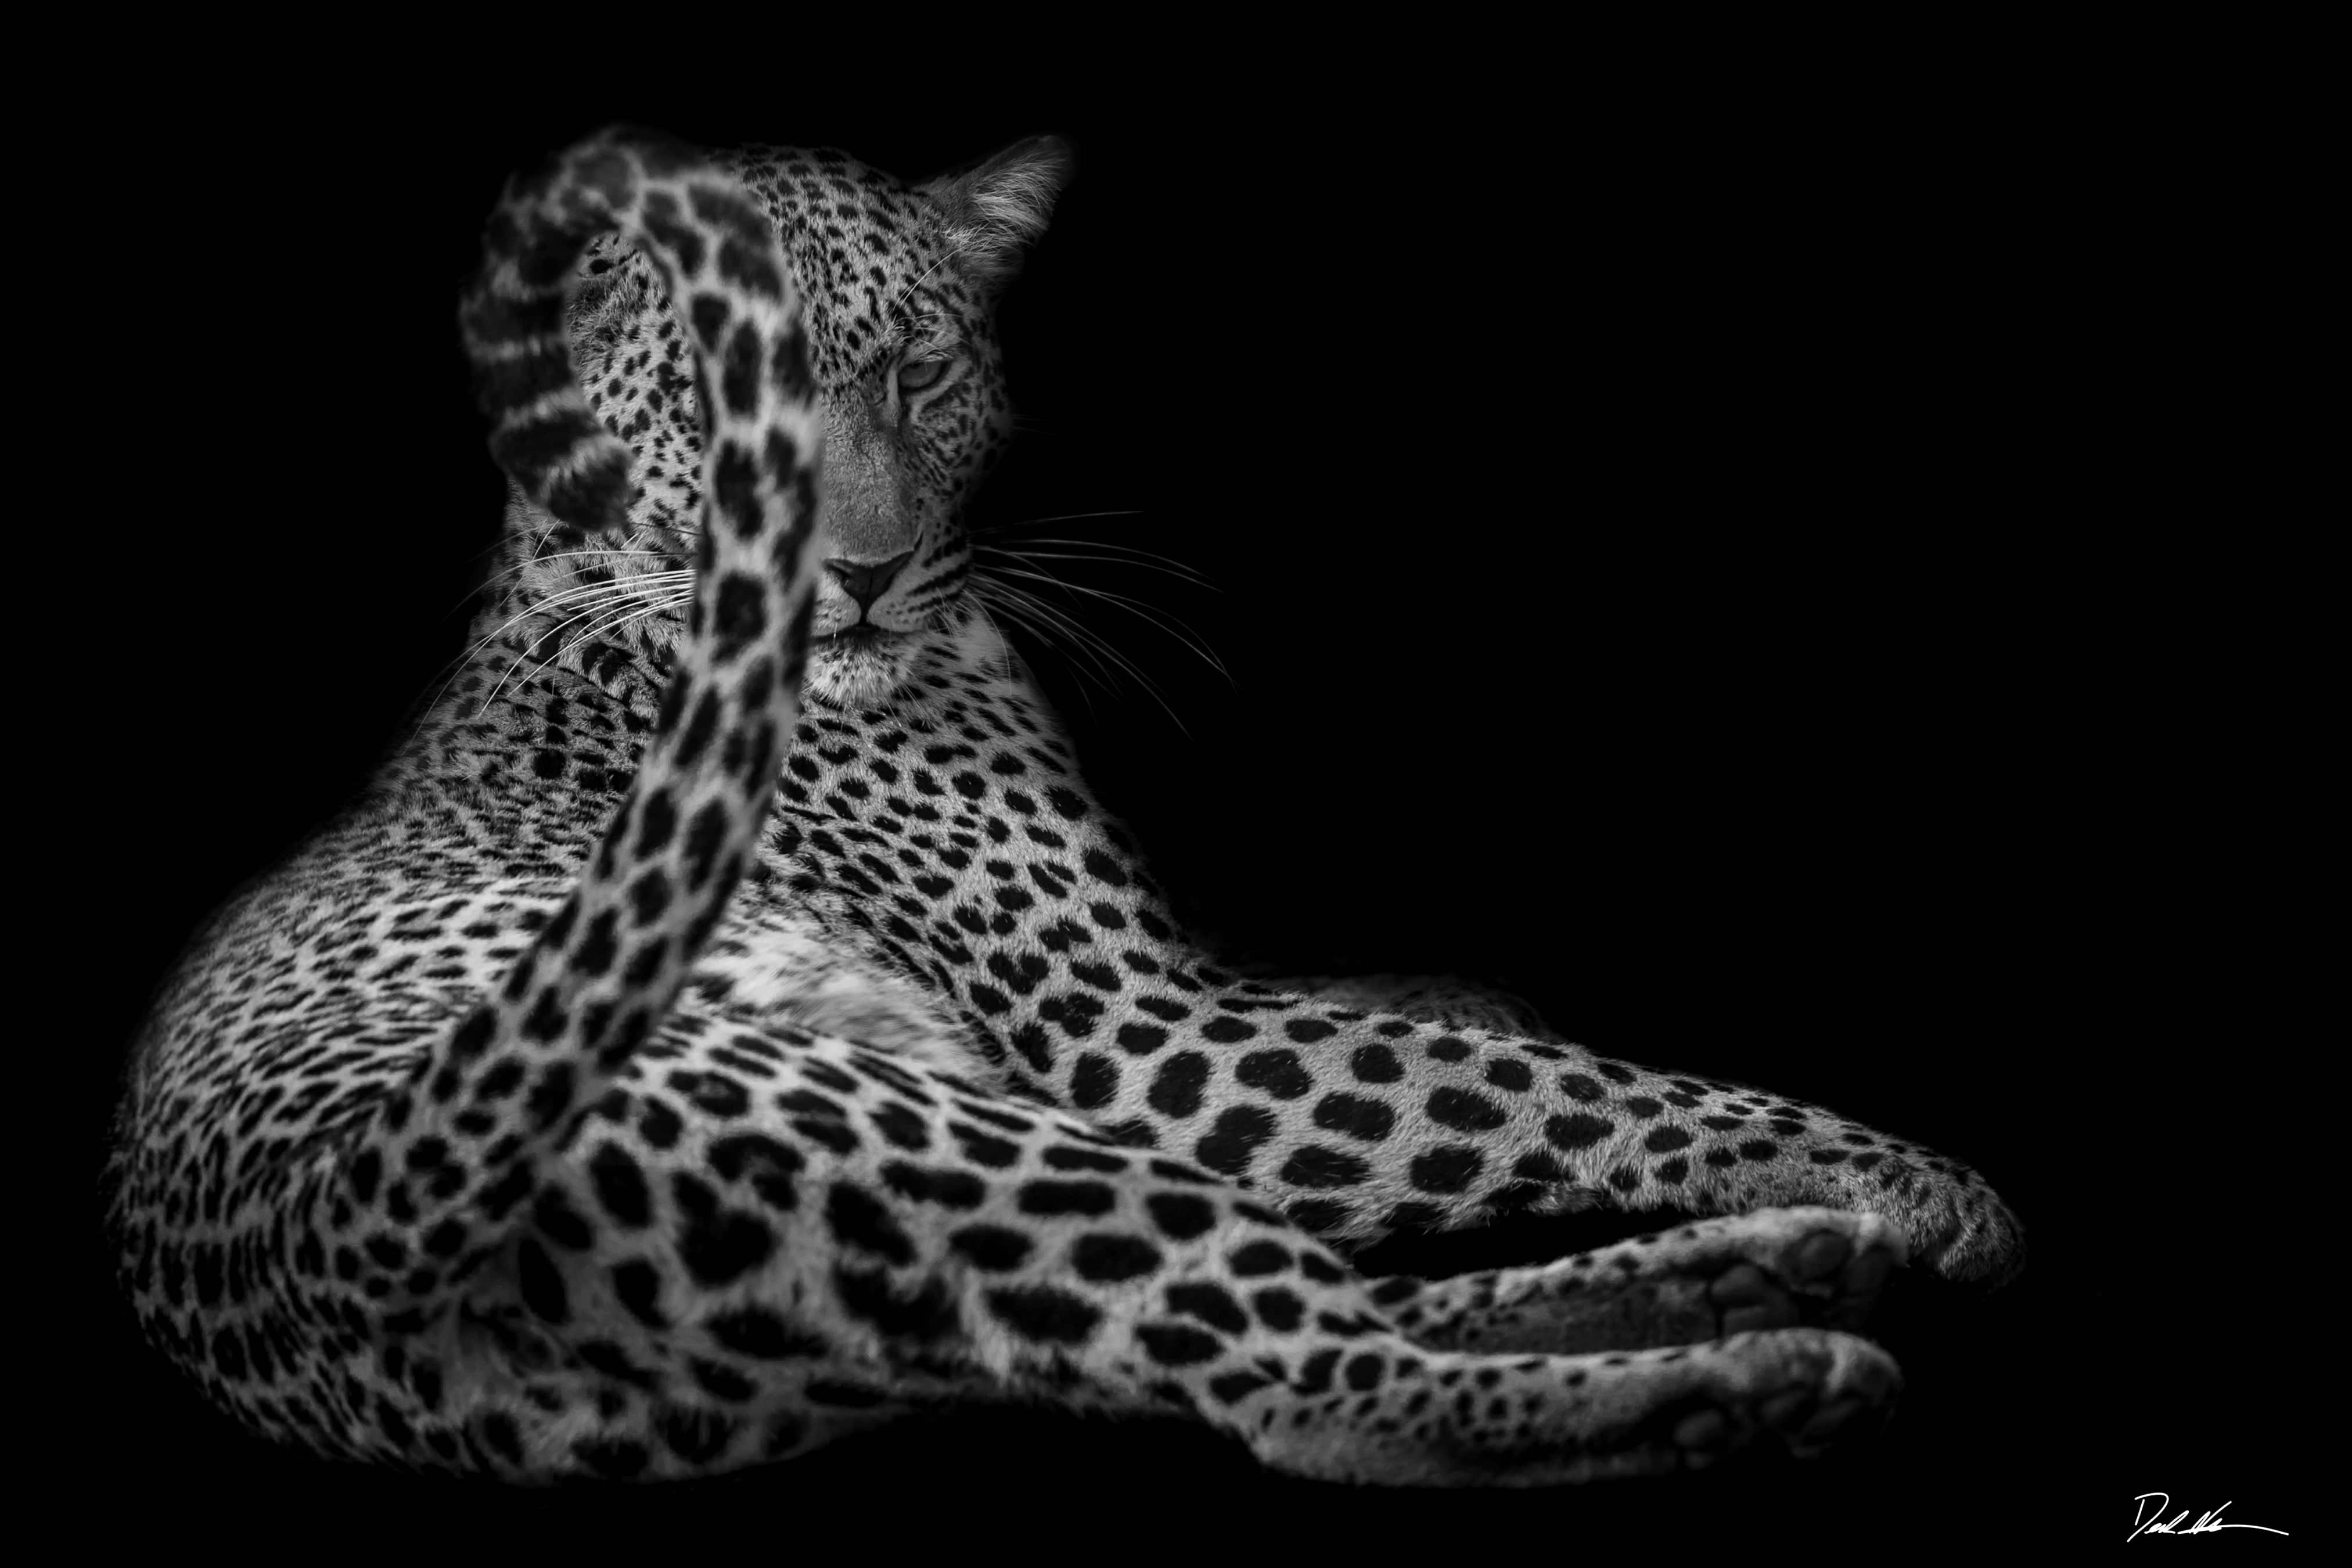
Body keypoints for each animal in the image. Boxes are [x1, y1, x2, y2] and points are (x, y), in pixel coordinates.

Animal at [106, 128, 2023, 1495]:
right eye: (728, 403)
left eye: (919, 373)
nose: (860, 573)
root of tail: (332, 1229)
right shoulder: (1142, 1031)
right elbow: (1548, 1084)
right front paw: (1919, 1179)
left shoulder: (1183, 1001)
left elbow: (1472, 1041)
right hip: (903, 1118)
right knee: (1310, 1384)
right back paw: (1764, 1366)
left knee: (1283, 1320)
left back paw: (1764, 1276)